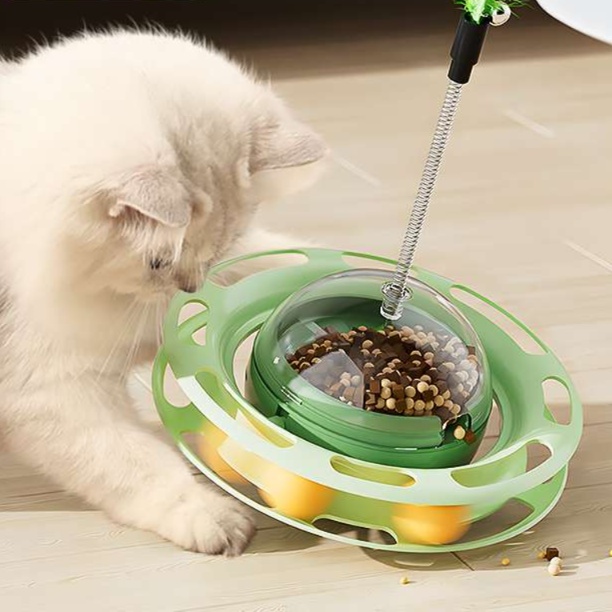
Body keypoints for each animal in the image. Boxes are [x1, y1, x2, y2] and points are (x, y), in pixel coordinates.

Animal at [0, 30, 327, 555]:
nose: (189, 286)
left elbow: (279, 262)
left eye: (221, 247)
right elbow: (138, 463)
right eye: (158, 263)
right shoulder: (52, 391)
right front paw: (213, 517)